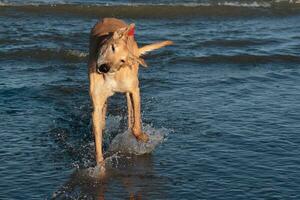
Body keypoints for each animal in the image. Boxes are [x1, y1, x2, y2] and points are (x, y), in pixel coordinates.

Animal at [88, 17, 172, 164]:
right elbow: (98, 133)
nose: (104, 67)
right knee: (105, 111)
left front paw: (143, 137)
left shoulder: (135, 90)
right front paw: (100, 164)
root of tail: (110, 18)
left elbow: (136, 125)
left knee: (130, 109)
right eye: (112, 47)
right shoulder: (97, 104)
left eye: (122, 60)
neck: (112, 75)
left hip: (131, 84)